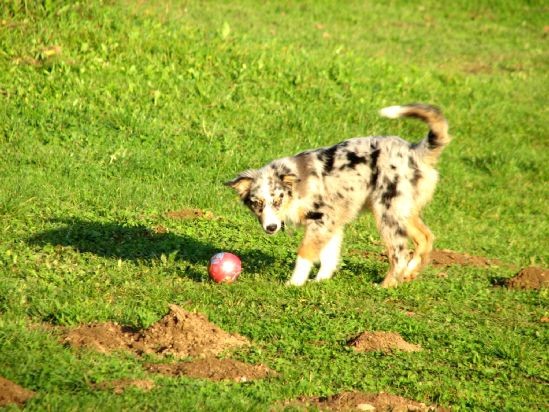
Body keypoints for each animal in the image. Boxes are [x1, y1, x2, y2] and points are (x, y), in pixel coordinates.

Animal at [224, 104, 450, 288]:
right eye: (257, 204)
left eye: (277, 201)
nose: (271, 227)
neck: (296, 187)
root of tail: (414, 151)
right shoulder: (333, 222)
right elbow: (329, 255)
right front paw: (320, 280)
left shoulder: (322, 218)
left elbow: (305, 253)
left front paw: (294, 282)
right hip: (403, 209)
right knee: (425, 237)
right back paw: (409, 273)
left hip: (387, 212)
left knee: (400, 252)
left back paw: (385, 285)